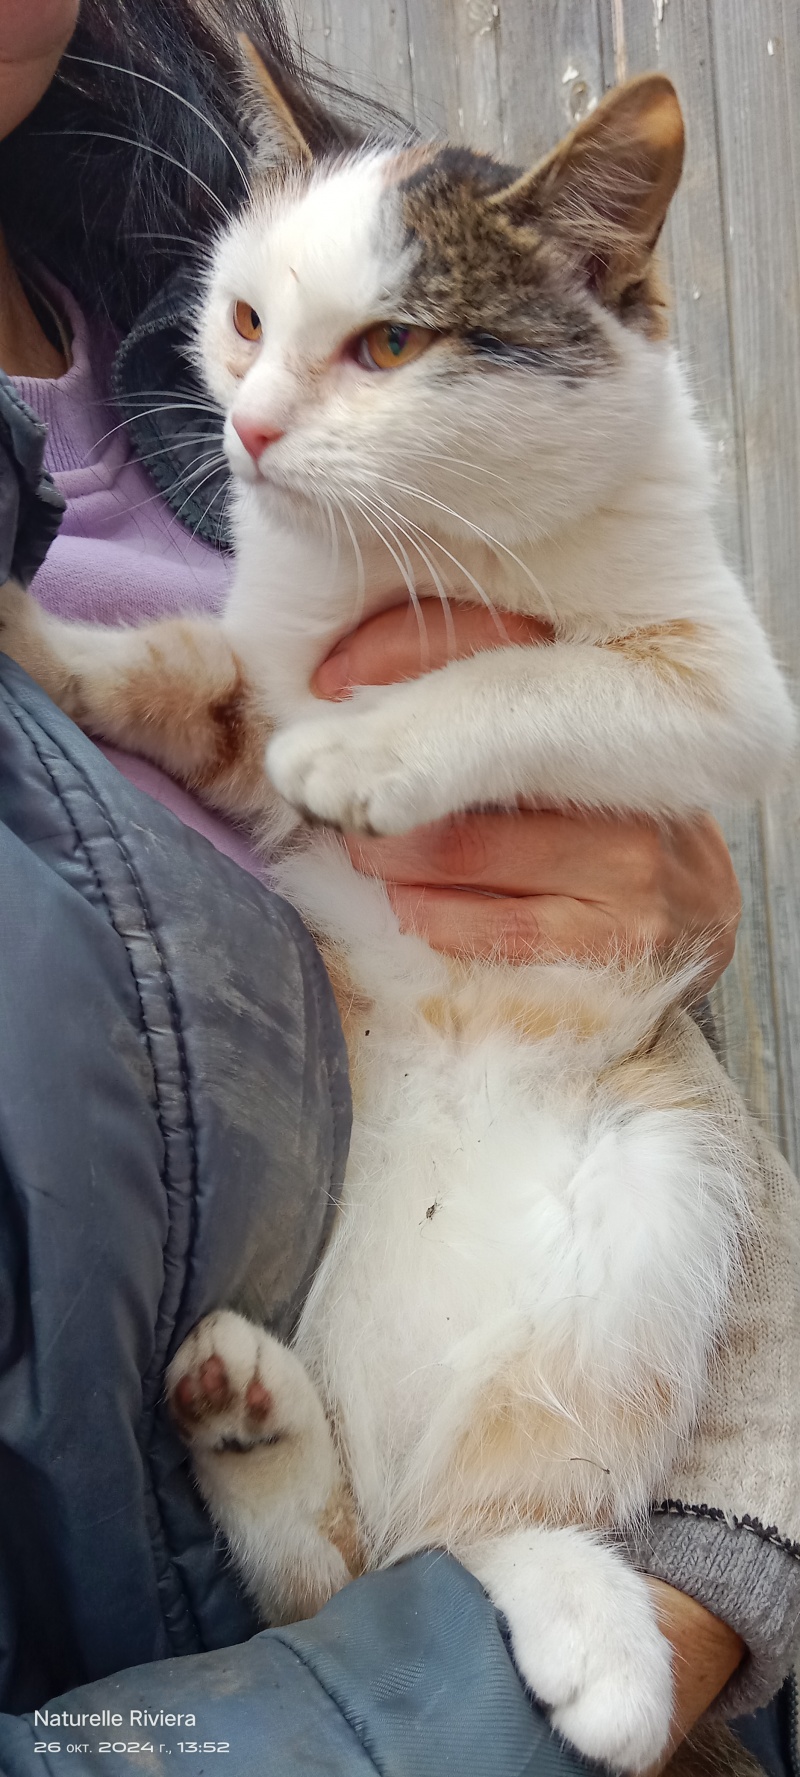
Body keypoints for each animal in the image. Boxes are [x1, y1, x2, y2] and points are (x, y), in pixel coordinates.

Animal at [1, 44, 796, 1772]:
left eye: (389, 344)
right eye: (242, 317)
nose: (248, 427)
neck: (411, 555)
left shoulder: (726, 691)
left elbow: (545, 677)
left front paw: (374, 745)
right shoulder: (246, 678)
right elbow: (176, 674)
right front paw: (32, 639)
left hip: (659, 1186)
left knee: (461, 1533)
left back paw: (592, 1635)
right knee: (347, 1573)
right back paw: (256, 1421)